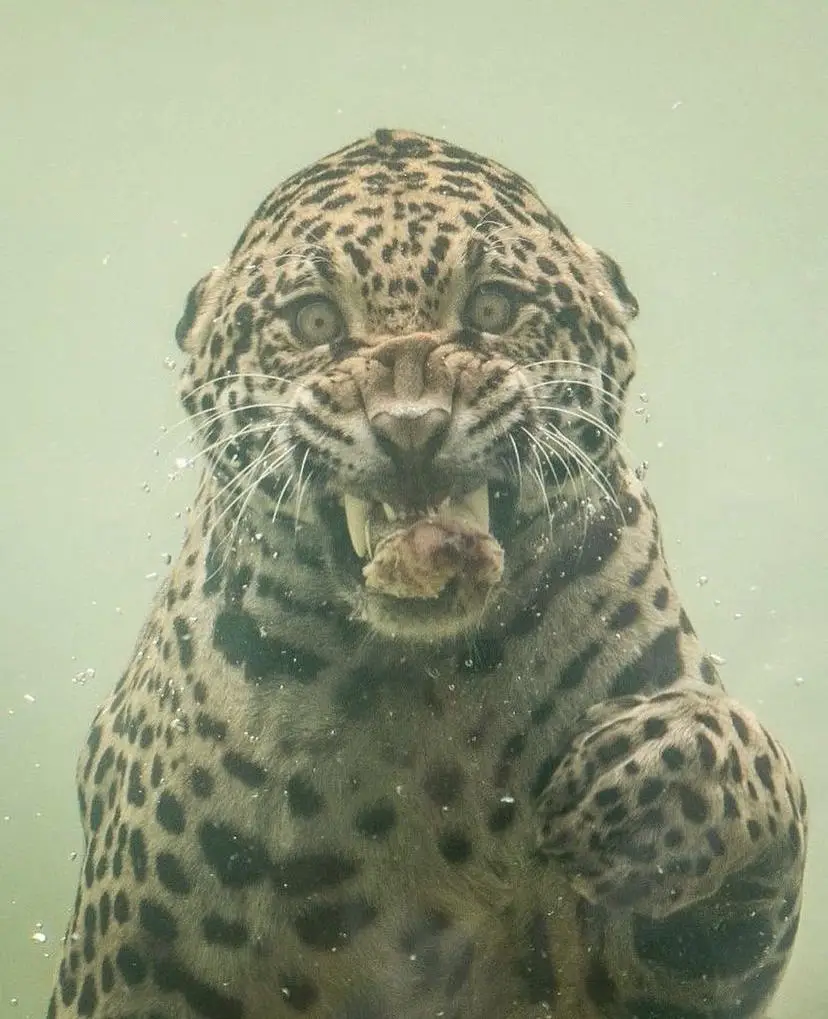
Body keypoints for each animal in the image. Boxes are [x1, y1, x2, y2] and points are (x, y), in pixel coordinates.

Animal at [48, 129, 802, 1019]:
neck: (426, 694)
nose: (412, 426)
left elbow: (765, 764)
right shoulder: (133, 973)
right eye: (313, 320)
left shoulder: (663, 976)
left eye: (492, 310)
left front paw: (654, 770)